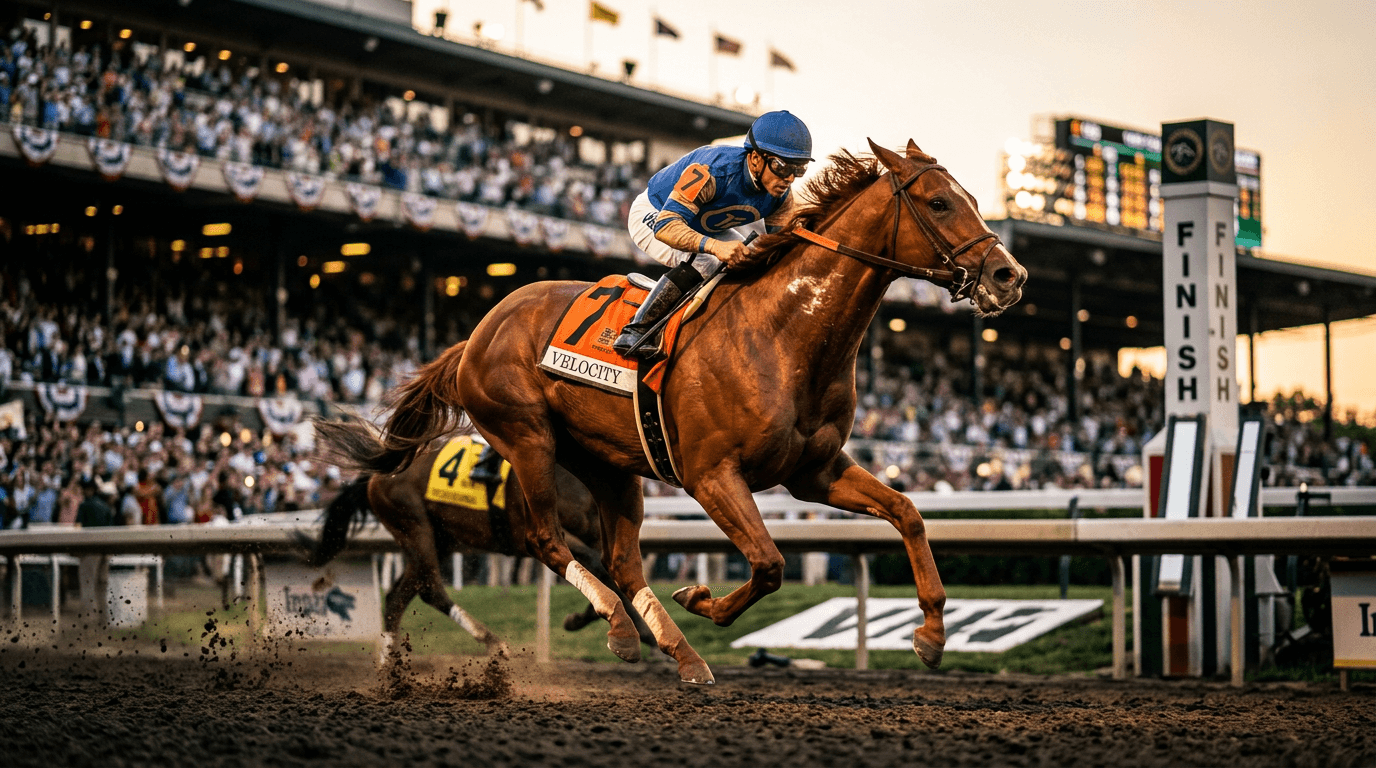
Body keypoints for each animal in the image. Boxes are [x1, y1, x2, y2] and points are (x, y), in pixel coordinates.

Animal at [303, 419, 655, 663]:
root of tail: (378, 473)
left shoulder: (595, 534)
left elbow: (611, 574)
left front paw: (630, 628)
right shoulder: (541, 534)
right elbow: (598, 568)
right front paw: (628, 630)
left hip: (439, 537)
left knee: (397, 597)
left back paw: (389, 667)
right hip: (415, 527)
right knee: (430, 588)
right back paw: (493, 642)